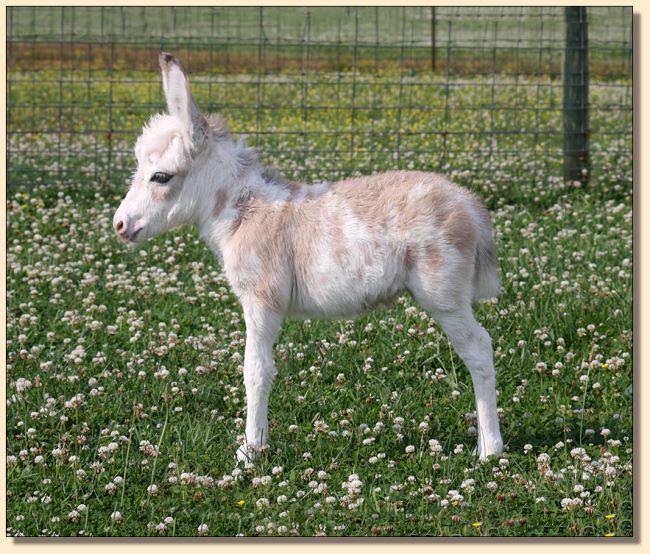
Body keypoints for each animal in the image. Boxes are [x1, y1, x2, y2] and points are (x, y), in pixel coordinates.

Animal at [114, 54, 504, 462]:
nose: (119, 225)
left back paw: (490, 450)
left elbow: (256, 371)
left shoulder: (261, 301)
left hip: (443, 297)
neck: (244, 211)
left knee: (479, 349)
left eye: (160, 177)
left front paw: (250, 451)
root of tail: (470, 205)